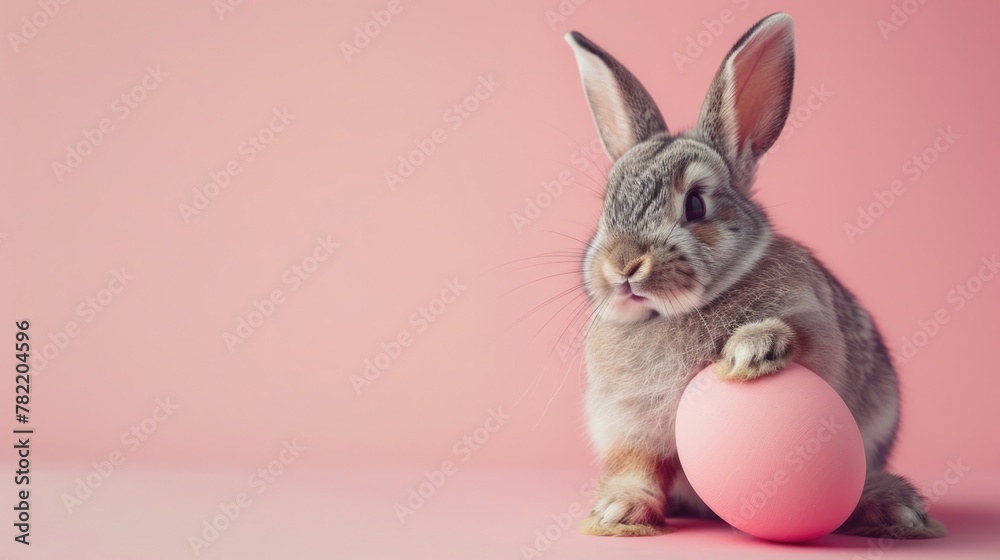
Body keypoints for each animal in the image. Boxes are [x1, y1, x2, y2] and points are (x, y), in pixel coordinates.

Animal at [563, 12, 945, 539]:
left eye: (695, 205)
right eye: (606, 206)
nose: (622, 266)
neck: (675, 313)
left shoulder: (813, 324)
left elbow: (797, 337)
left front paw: (753, 349)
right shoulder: (629, 425)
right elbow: (636, 466)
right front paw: (617, 513)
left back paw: (893, 507)